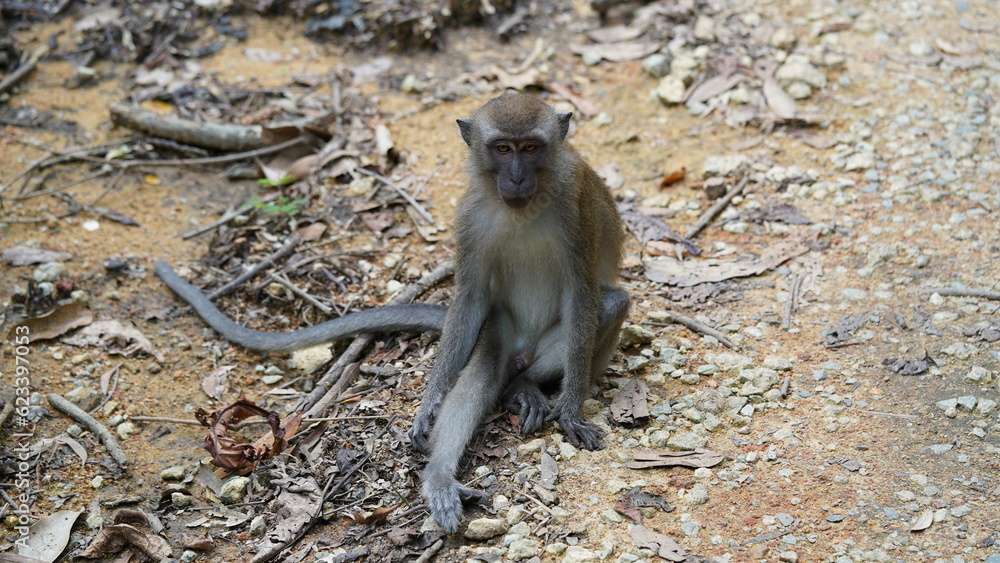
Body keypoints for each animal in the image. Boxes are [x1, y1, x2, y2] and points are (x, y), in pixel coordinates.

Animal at [407, 92, 630, 532]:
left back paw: (523, 387)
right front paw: (430, 403)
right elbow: (471, 297)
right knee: (482, 370)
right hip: (501, 327)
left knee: (610, 305)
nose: (515, 177)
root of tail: (525, 348)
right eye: (502, 149)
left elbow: (583, 293)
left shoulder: (575, 206)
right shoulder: (469, 215)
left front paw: (571, 409)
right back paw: (441, 477)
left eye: (529, 148)